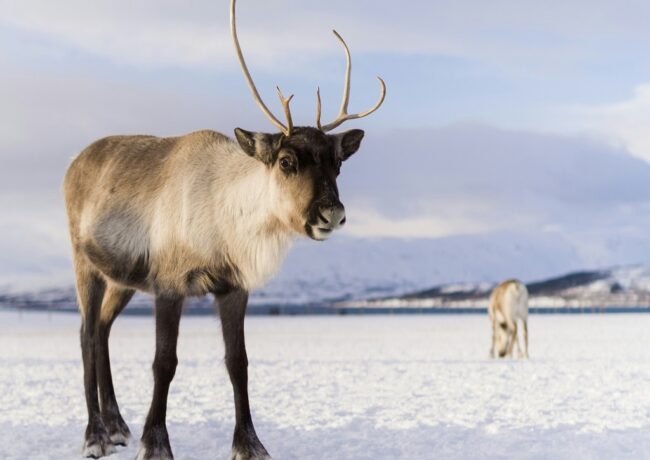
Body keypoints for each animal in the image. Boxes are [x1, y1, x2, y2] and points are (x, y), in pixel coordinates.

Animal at [62, 0, 385, 458]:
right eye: (286, 161)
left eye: (337, 163)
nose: (332, 213)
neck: (227, 221)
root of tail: (73, 163)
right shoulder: (170, 283)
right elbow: (165, 362)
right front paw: (155, 442)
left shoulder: (234, 287)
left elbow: (239, 363)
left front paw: (250, 443)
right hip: (83, 262)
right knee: (87, 333)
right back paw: (95, 435)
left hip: (122, 279)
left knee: (103, 330)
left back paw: (118, 425)